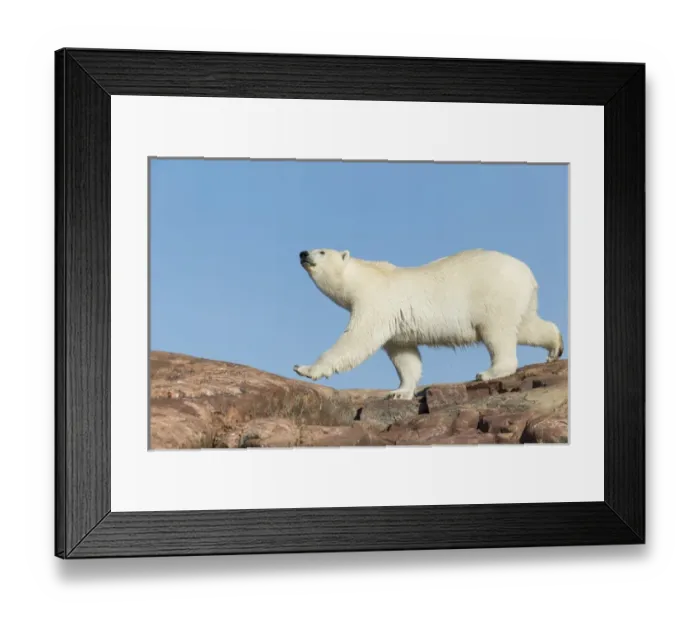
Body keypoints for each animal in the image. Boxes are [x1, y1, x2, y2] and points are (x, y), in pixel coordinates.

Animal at [293, 248, 564, 400]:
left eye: (322, 251)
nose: (303, 253)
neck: (364, 277)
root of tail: (527, 273)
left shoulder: (376, 304)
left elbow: (356, 339)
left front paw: (305, 368)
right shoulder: (397, 325)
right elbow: (405, 356)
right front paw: (399, 392)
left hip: (493, 295)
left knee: (498, 333)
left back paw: (489, 372)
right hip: (519, 299)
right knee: (526, 326)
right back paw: (555, 348)